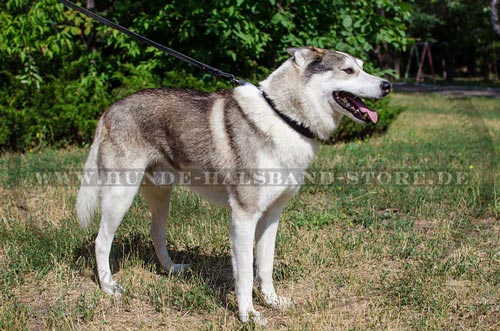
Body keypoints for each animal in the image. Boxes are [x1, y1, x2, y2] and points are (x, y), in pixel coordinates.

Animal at [76, 46, 392, 324]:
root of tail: (110, 109)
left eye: (362, 66)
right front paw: (248, 315)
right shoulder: (243, 216)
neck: (284, 118)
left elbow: (265, 266)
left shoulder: (271, 217)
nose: (387, 85)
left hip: (162, 195)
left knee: (156, 233)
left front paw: (272, 301)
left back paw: (171, 270)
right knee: (101, 241)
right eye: (349, 70)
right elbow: (245, 274)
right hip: (120, 195)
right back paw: (109, 287)